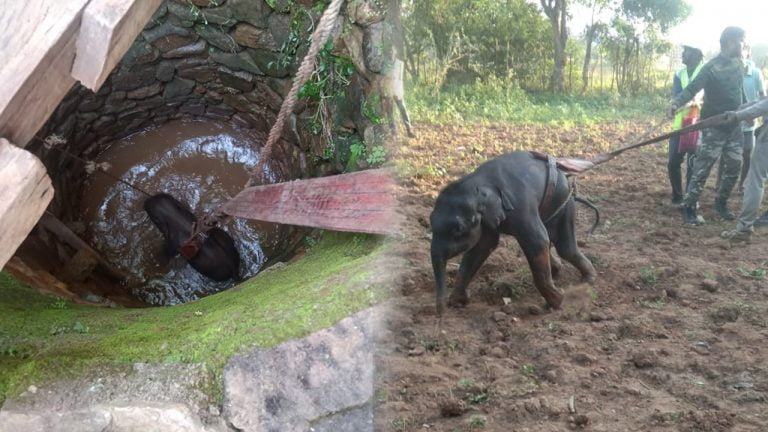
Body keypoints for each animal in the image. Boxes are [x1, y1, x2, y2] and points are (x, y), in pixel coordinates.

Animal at [430, 151, 598, 317]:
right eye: (430, 221)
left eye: (458, 229)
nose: (440, 315)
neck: (480, 182)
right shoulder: (488, 220)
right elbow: (483, 246)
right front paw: (457, 302)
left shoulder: (521, 207)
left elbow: (538, 241)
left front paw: (557, 302)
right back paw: (558, 270)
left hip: (562, 198)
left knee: (564, 246)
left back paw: (588, 280)